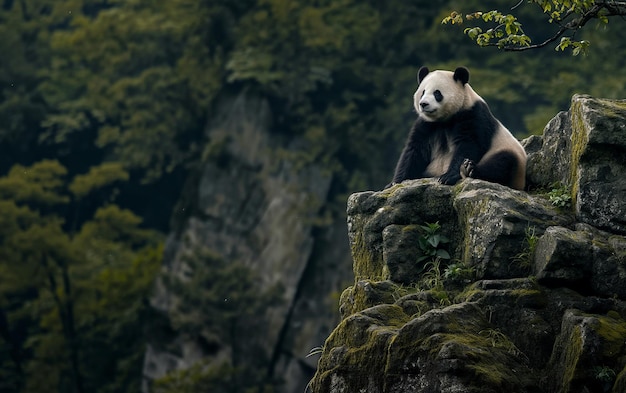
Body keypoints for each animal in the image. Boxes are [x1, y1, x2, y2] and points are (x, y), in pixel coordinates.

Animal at [388, 66, 524, 190]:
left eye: (437, 93)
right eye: (423, 92)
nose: (423, 104)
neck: (444, 120)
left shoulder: (473, 115)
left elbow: (468, 144)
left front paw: (448, 177)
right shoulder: (427, 124)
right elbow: (415, 150)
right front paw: (395, 182)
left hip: (507, 150)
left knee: (502, 163)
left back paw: (469, 169)